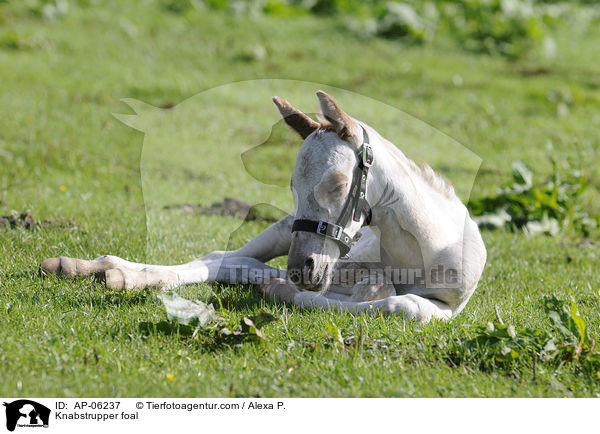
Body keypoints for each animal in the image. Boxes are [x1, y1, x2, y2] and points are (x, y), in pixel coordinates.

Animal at [42, 90, 486, 322]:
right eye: (291, 185)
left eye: (339, 183)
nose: (302, 268)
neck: (422, 242)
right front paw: (281, 288)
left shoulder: (448, 305)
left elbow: (398, 304)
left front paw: (280, 287)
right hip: (281, 230)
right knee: (219, 258)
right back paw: (94, 269)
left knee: (235, 264)